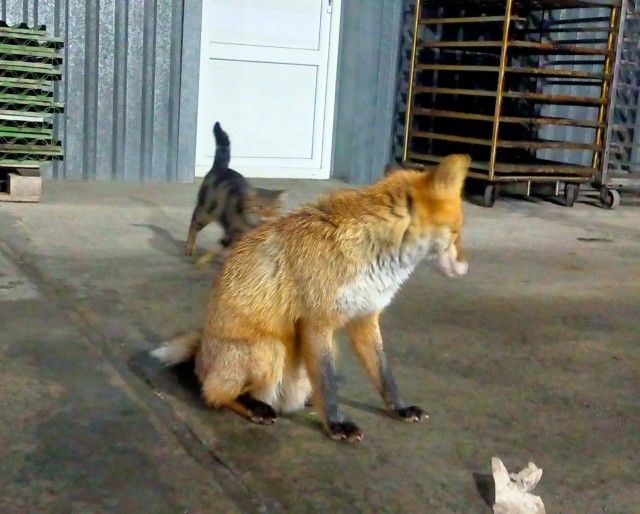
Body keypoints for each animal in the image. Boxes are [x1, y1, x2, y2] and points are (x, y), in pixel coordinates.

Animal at [151, 154, 471, 442]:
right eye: (457, 232)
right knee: (215, 395)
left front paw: (400, 409)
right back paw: (257, 407)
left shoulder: (365, 318)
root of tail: (201, 358)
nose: (466, 267)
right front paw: (336, 425)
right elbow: (327, 385)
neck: (371, 253)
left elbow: (383, 374)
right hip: (269, 348)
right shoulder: (317, 321)